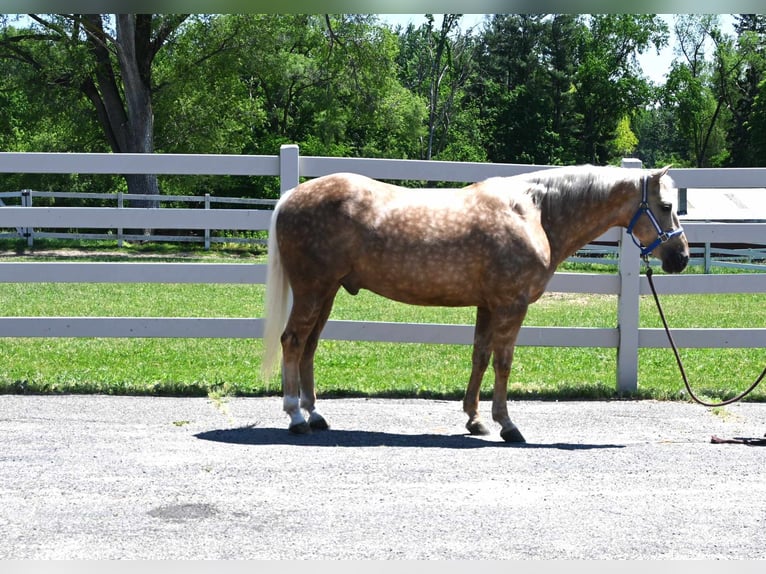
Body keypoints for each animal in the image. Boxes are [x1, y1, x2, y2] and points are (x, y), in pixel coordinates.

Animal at [260, 164, 689, 442]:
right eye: (666, 206)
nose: (681, 257)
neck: (534, 213)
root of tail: (291, 195)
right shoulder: (512, 304)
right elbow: (503, 362)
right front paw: (507, 424)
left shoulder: (488, 304)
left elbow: (480, 357)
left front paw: (475, 419)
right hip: (313, 289)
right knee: (293, 342)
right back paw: (295, 416)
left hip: (327, 292)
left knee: (309, 346)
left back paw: (315, 414)